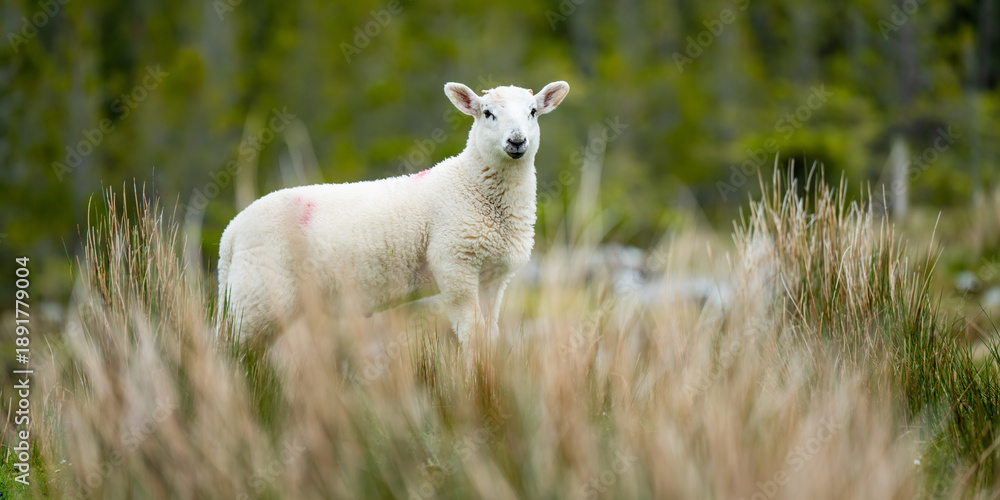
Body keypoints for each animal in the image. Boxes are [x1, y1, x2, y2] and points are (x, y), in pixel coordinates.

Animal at [218, 80, 570, 345]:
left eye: (533, 111)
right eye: (487, 113)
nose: (517, 141)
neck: (471, 183)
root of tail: (230, 234)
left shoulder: (494, 277)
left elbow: (489, 334)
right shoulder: (454, 264)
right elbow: (471, 334)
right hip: (258, 295)